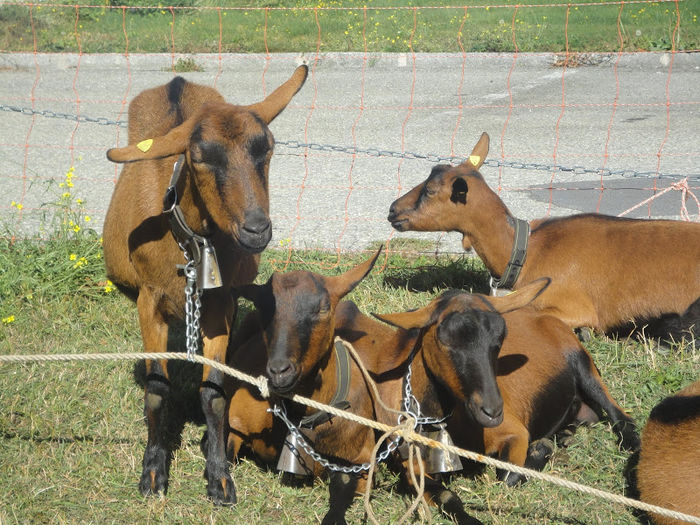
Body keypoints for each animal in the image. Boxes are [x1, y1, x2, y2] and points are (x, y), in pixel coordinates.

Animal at [103, 65, 308, 504]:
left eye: (266, 148)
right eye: (198, 157)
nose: (256, 229)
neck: (189, 242)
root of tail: (177, 80)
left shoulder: (219, 303)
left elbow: (213, 391)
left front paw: (220, 477)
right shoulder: (149, 301)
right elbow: (156, 388)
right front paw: (152, 472)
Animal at [378, 288, 640, 486]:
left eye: (499, 341)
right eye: (444, 341)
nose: (492, 411)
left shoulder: (515, 433)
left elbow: (506, 477)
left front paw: (540, 449)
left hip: (581, 361)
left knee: (618, 412)